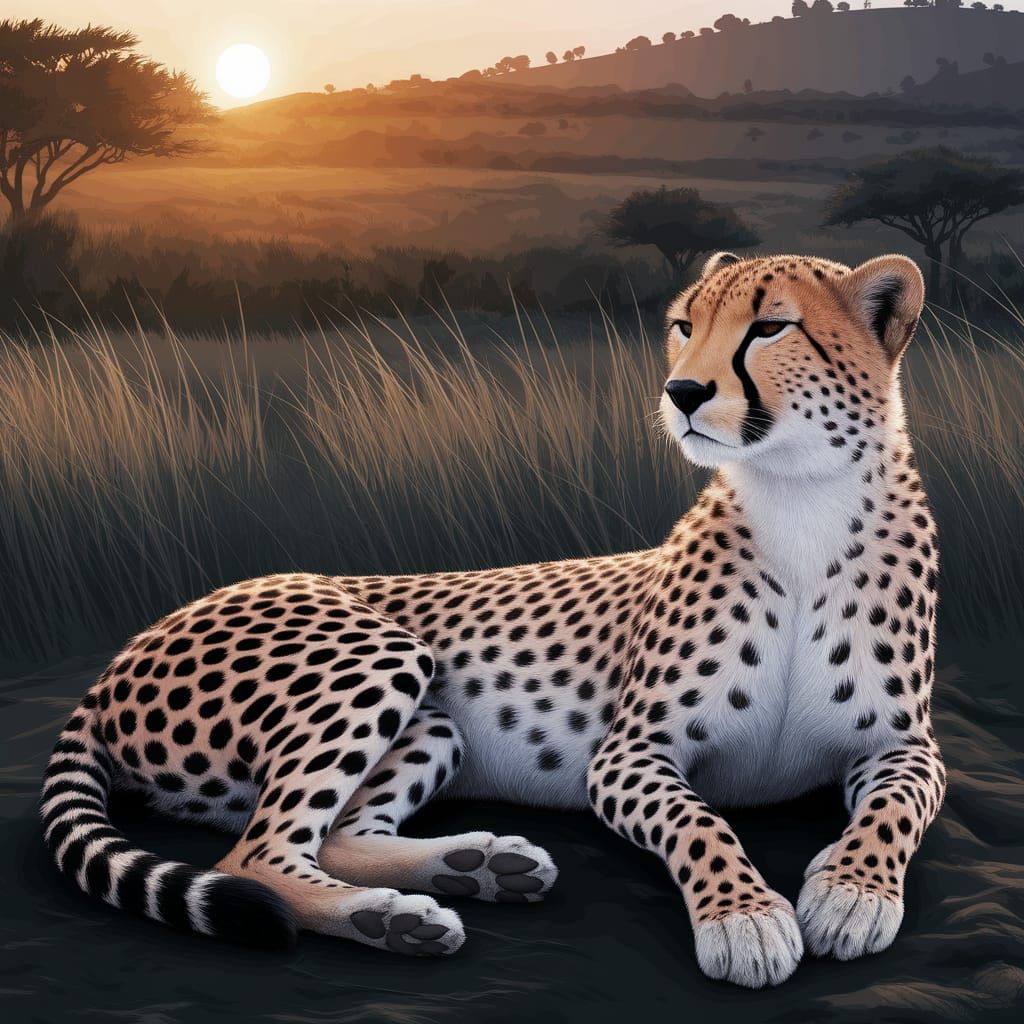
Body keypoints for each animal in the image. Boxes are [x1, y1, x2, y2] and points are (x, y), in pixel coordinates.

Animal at [42, 251, 944, 988]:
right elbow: (700, 824)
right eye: (685, 326)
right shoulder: (630, 754)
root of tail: (126, 650)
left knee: (330, 834)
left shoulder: (904, 746)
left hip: (431, 722)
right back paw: (394, 916)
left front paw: (851, 890)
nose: (682, 391)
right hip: (380, 655)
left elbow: (896, 810)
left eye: (769, 327)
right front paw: (745, 917)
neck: (799, 503)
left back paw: (471, 868)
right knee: (259, 853)